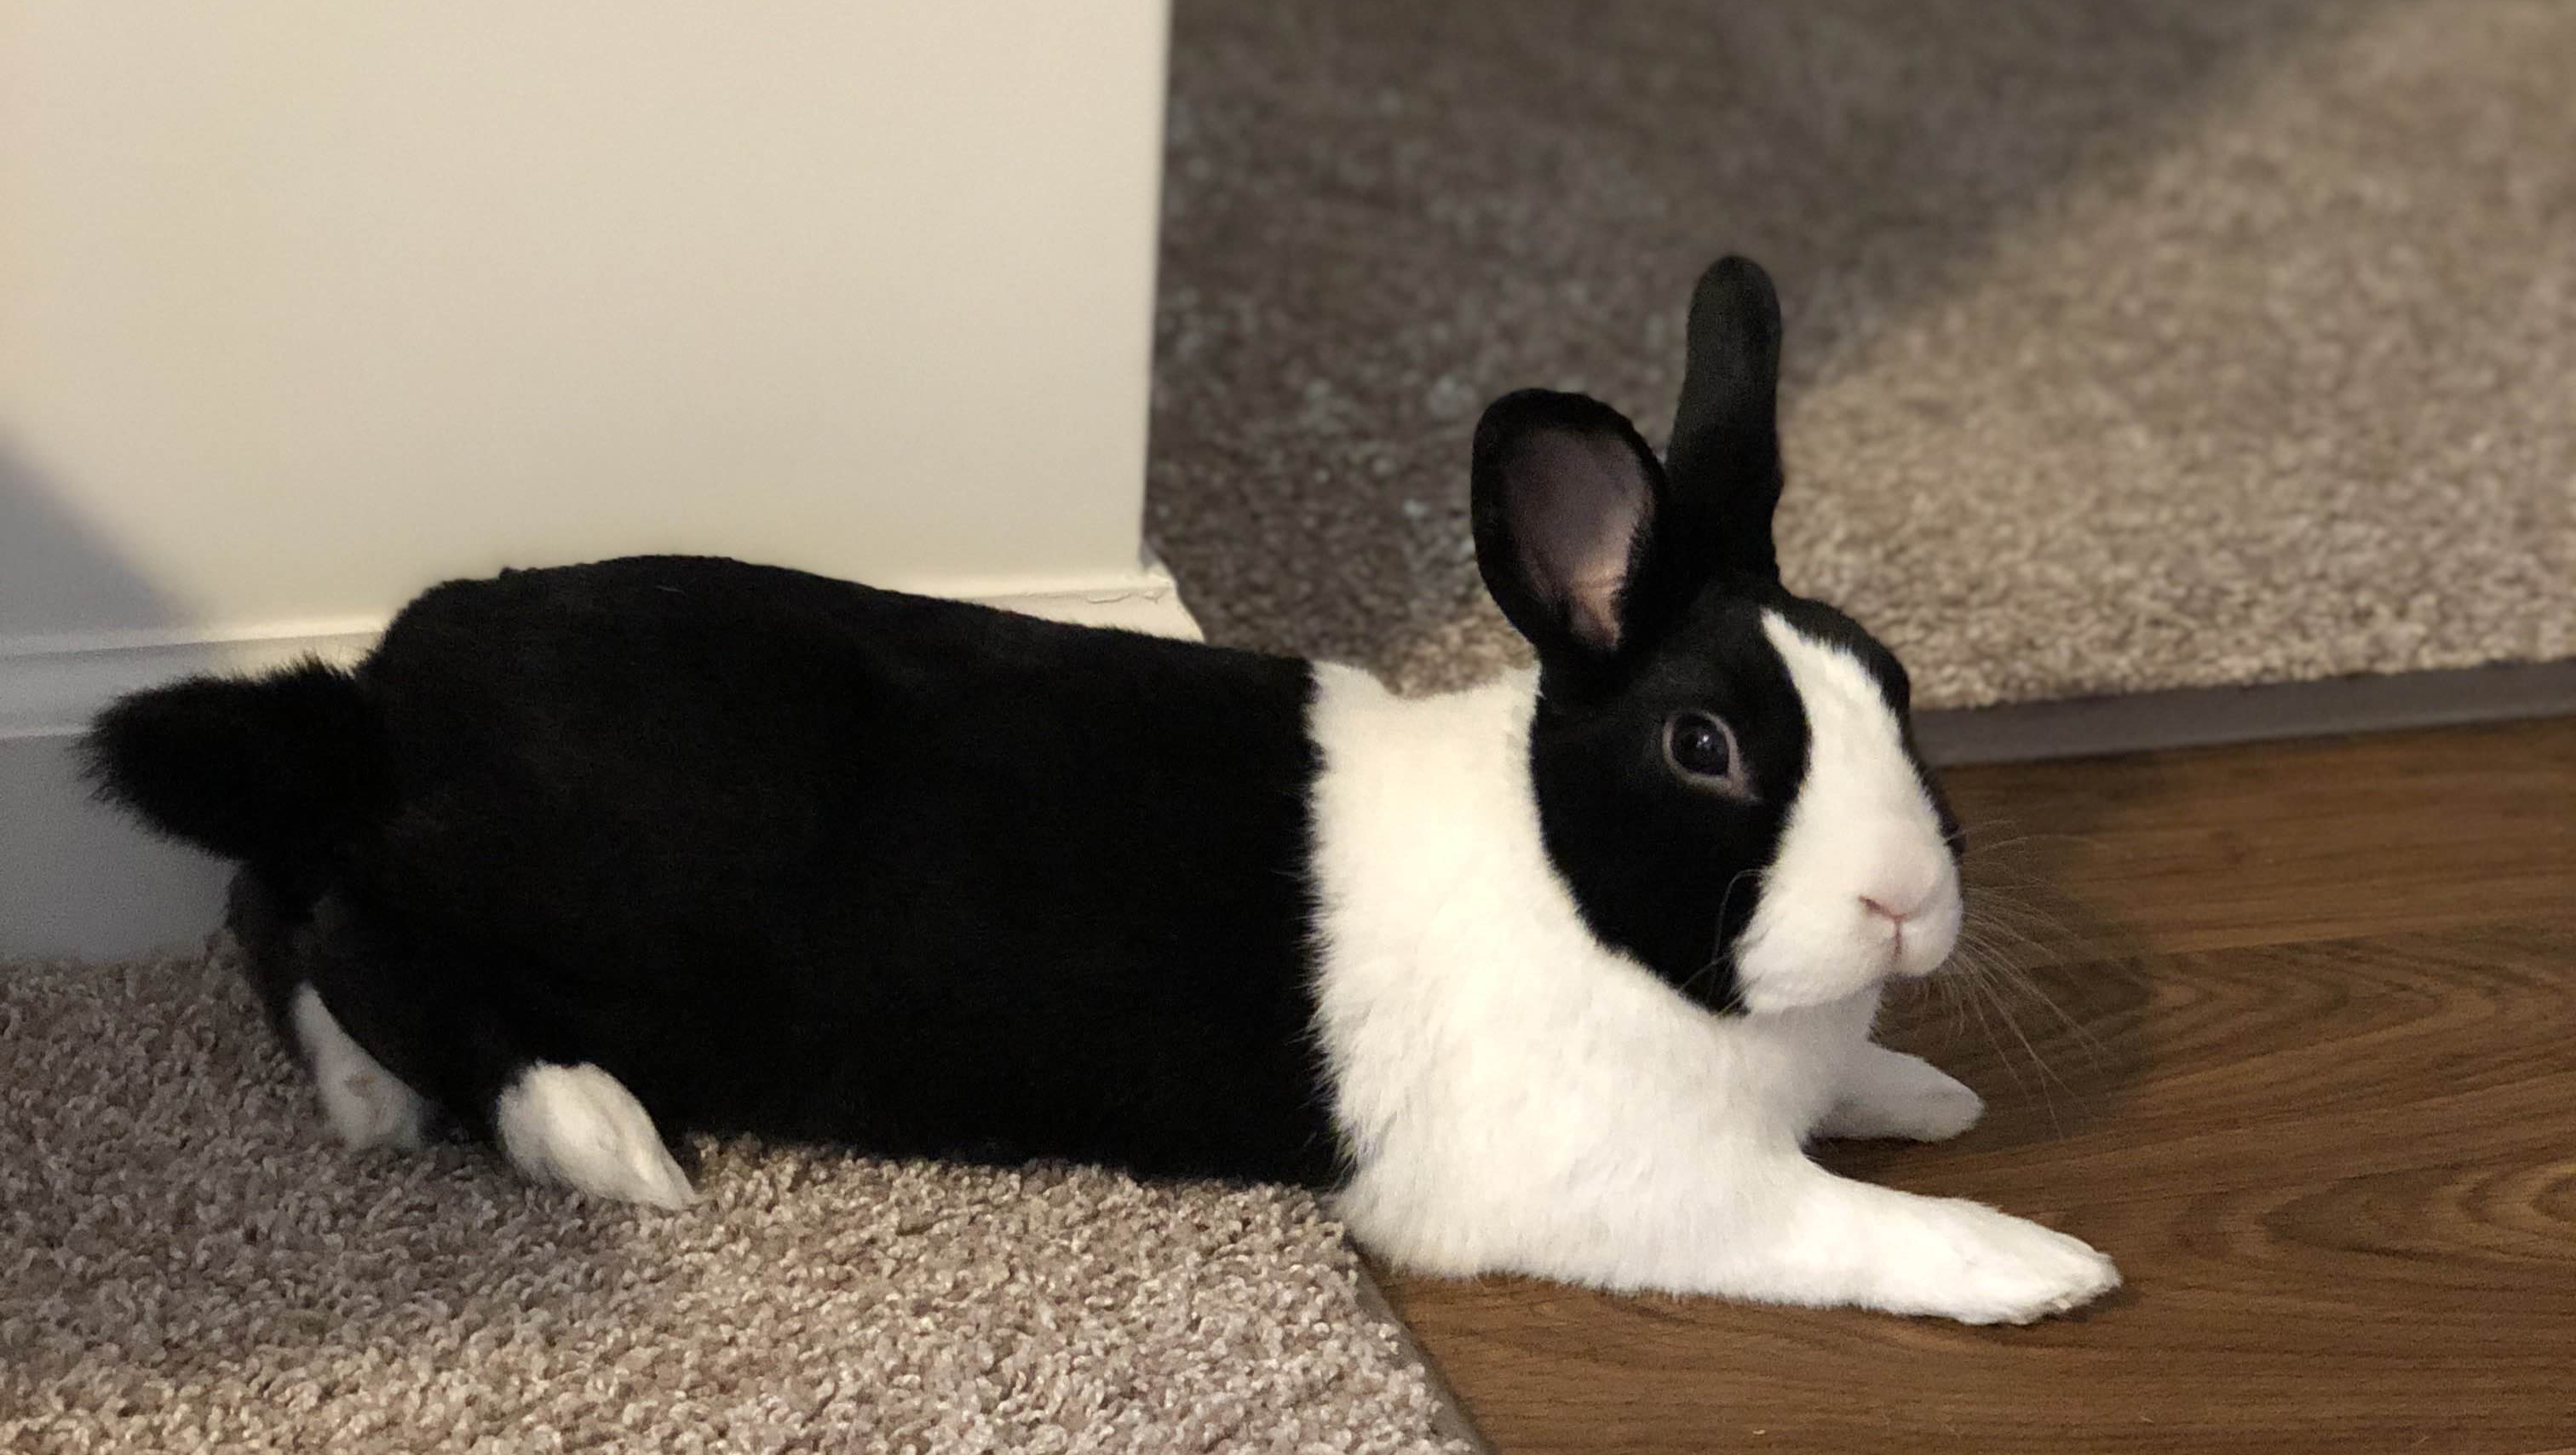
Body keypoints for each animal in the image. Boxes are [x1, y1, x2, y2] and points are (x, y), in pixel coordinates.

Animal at [85, 256, 2118, 1324]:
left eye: (1895, 688)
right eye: (1706, 747)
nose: (1905, 905)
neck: (1586, 897)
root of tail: (376, 705)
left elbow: (1863, 1099)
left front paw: (1927, 1087)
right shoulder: (1623, 1184)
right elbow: (1834, 1225)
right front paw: (2036, 1260)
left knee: (272, 891)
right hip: (524, 902)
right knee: (349, 932)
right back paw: (570, 1126)